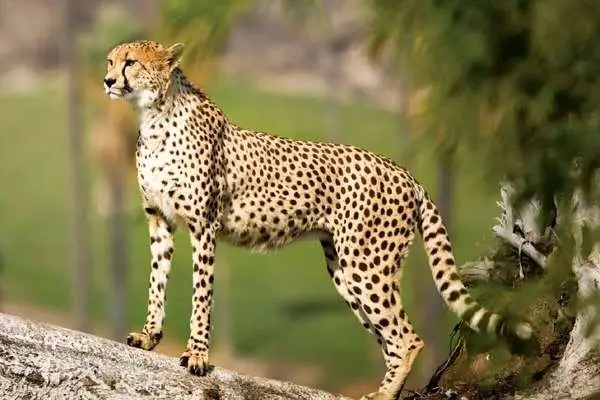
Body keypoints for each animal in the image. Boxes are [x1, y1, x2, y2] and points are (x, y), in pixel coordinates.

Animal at [103, 40, 536, 400]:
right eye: (110, 60)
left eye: (131, 62)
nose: (107, 80)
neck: (153, 116)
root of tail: (403, 171)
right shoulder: (160, 221)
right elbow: (157, 282)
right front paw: (150, 336)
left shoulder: (203, 226)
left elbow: (201, 294)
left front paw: (196, 355)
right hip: (345, 269)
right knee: (390, 337)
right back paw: (386, 390)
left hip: (367, 265)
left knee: (407, 337)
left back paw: (384, 393)